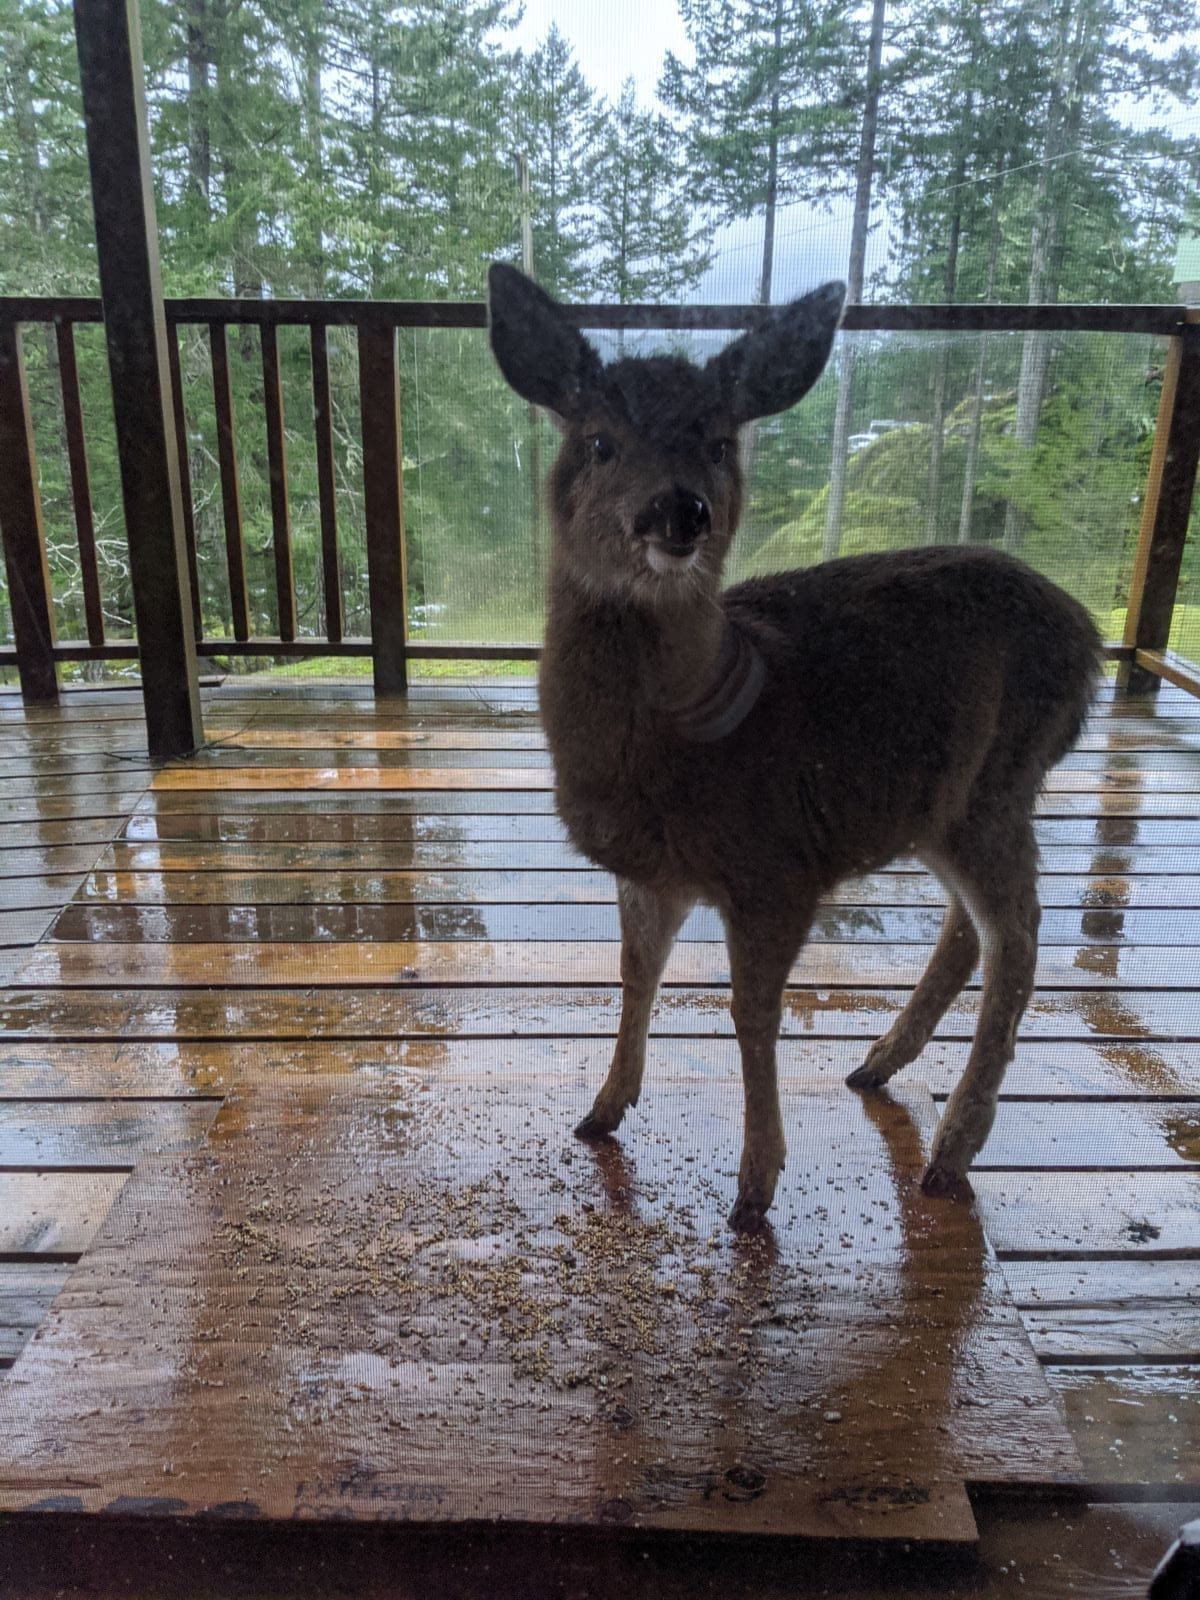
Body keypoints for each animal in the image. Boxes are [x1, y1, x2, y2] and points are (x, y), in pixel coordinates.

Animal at [486, 263, 1100, 1231]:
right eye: (599, 441)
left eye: (717, 441)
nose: (679, 510)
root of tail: (1093, 643)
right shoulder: (652, 872)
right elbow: (635, 975)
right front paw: (601, 1109)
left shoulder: (775, 866)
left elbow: (750, 1013)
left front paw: (755, 1188)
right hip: (942, 805)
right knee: (972, 929)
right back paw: (877, 1062)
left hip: (999, 783)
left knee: (1019, 935)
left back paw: (950, 1151)